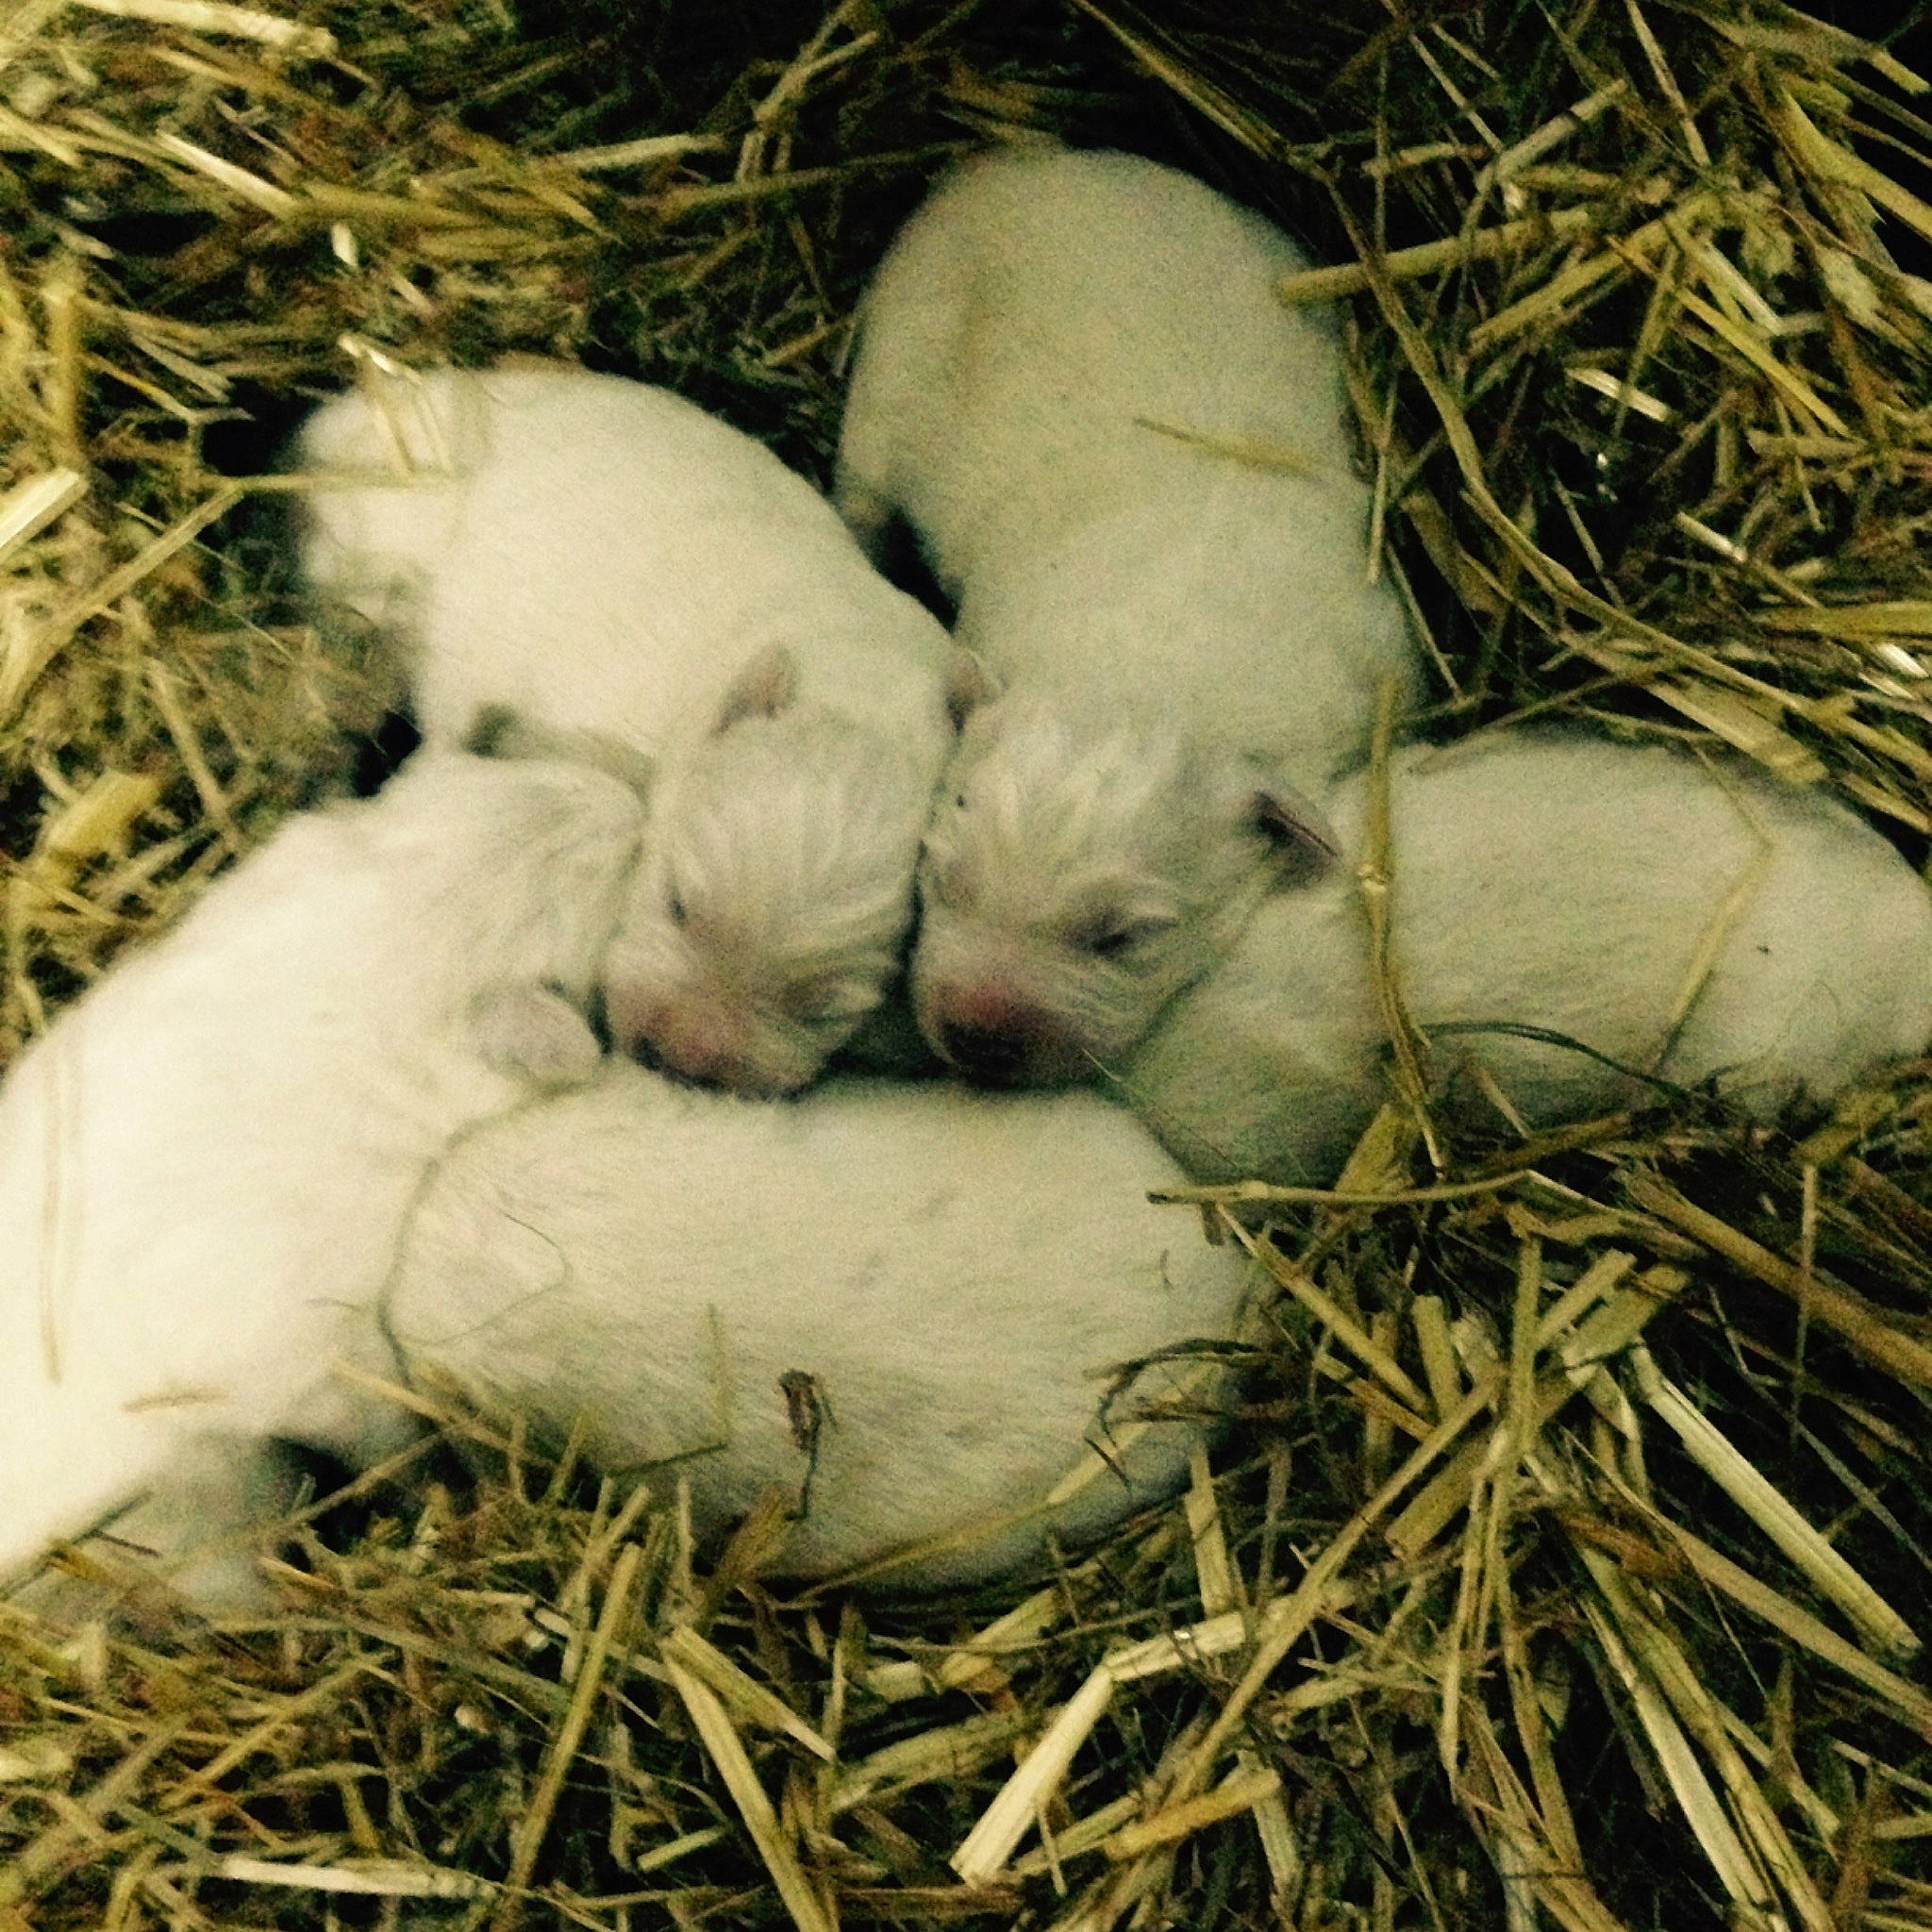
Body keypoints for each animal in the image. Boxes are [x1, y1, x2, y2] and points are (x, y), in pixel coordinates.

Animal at [834, 144, 1421, 1088]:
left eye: (1121, 939)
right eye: (945, 881)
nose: (976, 1037)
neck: (1151, 674)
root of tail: (1003, 161)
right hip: (893, 365)